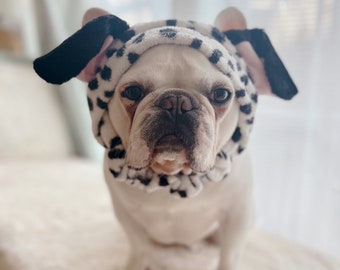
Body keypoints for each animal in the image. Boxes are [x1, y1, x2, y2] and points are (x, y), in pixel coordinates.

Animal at [33, 6, 296, 270]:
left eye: (221, 94)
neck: (172, 175)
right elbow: (139, 245)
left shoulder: (238, 214)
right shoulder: (125, 214)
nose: (177, 102)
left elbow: (229, 255)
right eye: (132, 91)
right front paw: (137, 264)